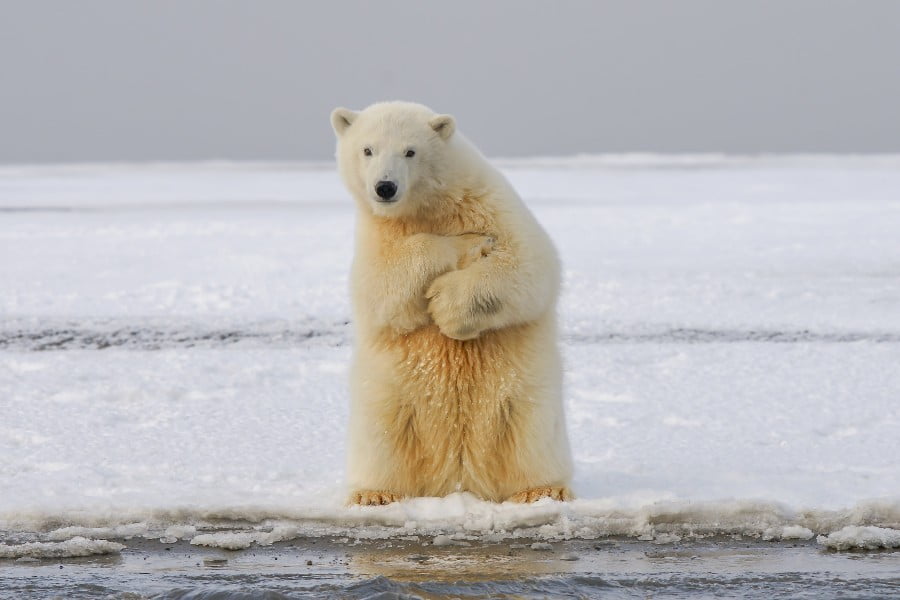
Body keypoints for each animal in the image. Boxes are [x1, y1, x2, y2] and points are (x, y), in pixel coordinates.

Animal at [328, 101, 568, 504]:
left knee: (530, 434)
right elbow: (380, 287)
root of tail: (459, 479)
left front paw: (447, 305)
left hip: (524, 396)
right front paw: (465, 244)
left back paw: (543, 490)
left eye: (410, 151)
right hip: (388, 398)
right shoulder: (376, 234)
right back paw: (374, 494)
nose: (385, 187)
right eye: (367, 149)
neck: (430, 206)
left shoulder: (492, 204)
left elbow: (528, 264)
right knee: (382, 437)